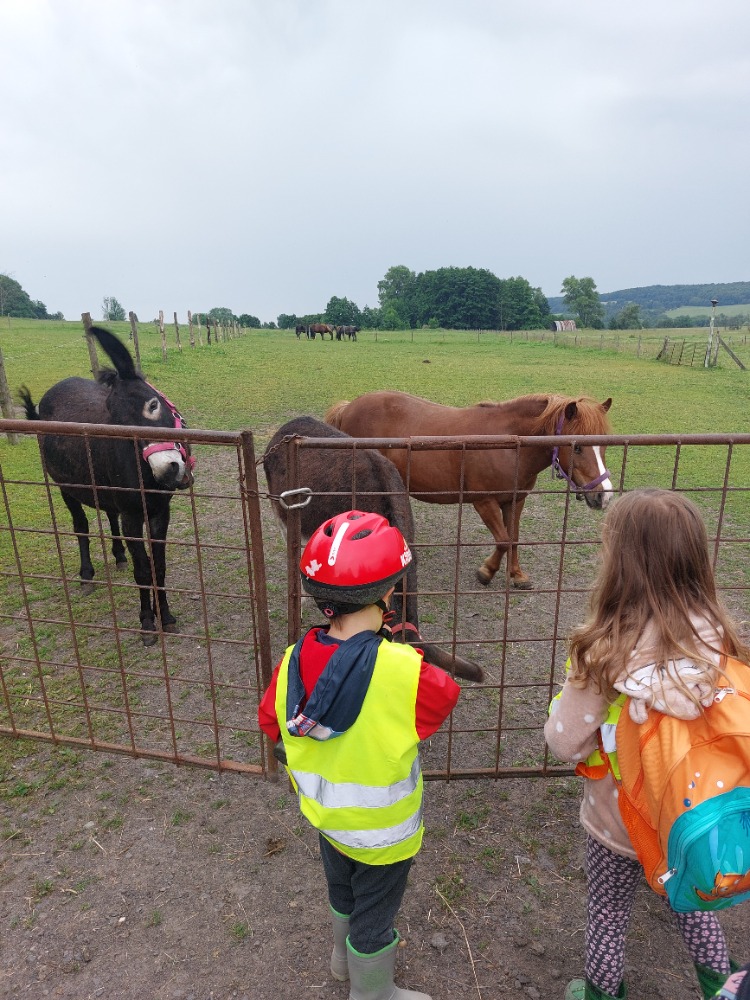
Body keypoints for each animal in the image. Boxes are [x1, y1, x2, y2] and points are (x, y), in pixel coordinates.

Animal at [18, 326, 195, 646]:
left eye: (153, 405)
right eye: (118, 425)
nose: (168, 470)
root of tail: (56, 387)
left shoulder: (160, 513)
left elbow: (158, 566)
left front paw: (167, 617)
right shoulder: (133, 517)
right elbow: (143, 570)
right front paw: (147, 623)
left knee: (110, 514)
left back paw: (119, 555)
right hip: (65, 486)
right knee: (81, 526)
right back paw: (87, 575)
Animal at [325, 390, 613, 589]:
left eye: (605, 445)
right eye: (577, 447)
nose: (604, 495)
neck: (510, 445)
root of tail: (349, 407)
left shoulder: (515, 500)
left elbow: (514, 538)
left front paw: (517, 575)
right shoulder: (483, 501)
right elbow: (503, 540)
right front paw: (486, 572)